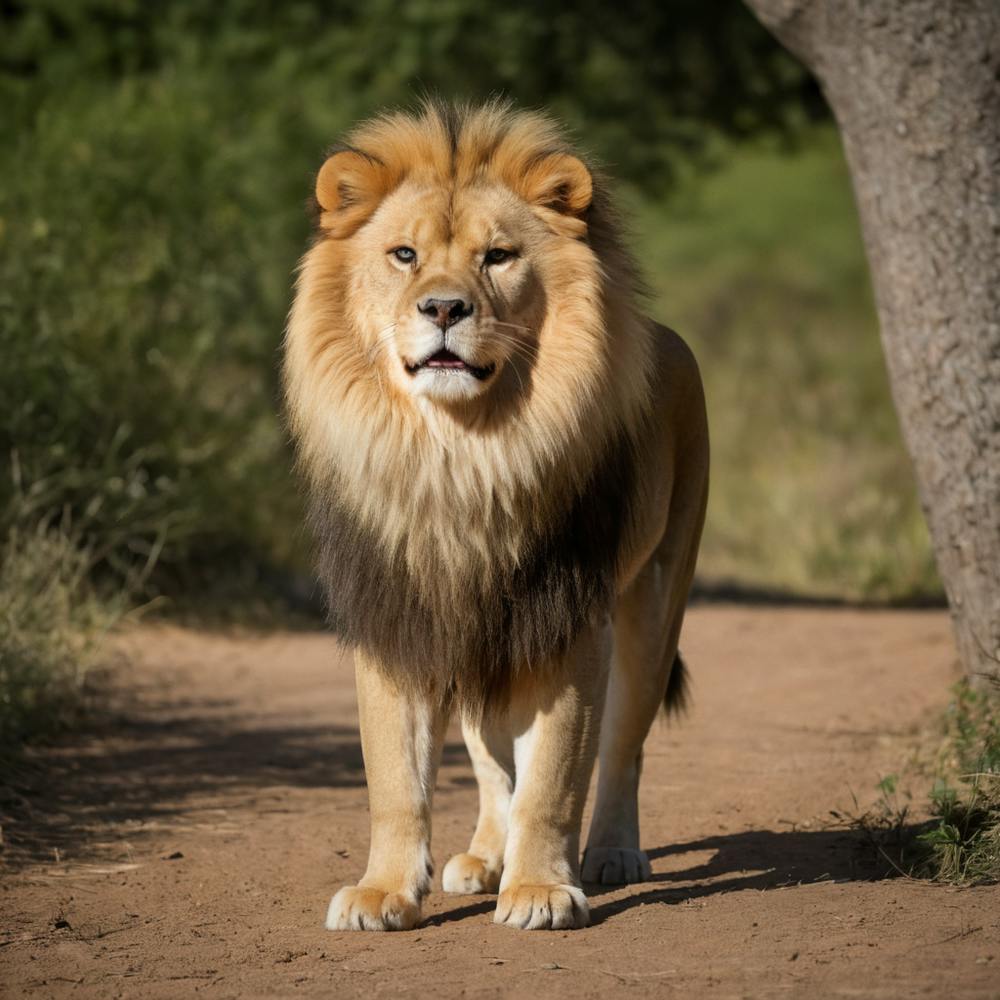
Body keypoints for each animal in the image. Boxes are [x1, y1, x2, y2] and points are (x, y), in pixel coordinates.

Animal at [283, 99, 708, 932]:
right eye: (405, 255)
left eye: (499, 257)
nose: (446, 307)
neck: (460, 456)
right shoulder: (399, 616)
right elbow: (396, 779)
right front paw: (385, 891)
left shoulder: (570, 623)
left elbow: (555, 776)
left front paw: (541, 888)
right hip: (479, 641)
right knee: (487, 758)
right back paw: (485, 856)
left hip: (652, 605)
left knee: (624, 745)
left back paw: (610, 853)